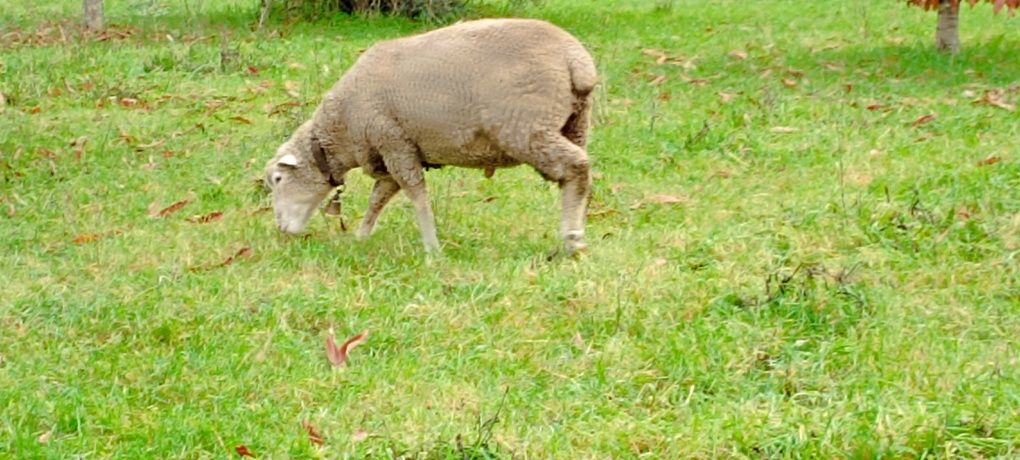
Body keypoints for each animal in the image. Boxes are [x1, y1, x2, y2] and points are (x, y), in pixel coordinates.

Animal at [263, 17, 595, 256]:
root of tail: (576, 60)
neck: (340, 127)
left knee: (577, 166)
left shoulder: (394, 143)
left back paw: (573, 239)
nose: (280, 228)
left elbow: (416, 195)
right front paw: (361, 236)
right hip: (574, 123)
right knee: (576, 179)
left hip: (527, 128)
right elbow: (379, 198)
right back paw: (576, 231)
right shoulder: (392, 151)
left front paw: (432, 249)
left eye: (278, 180)